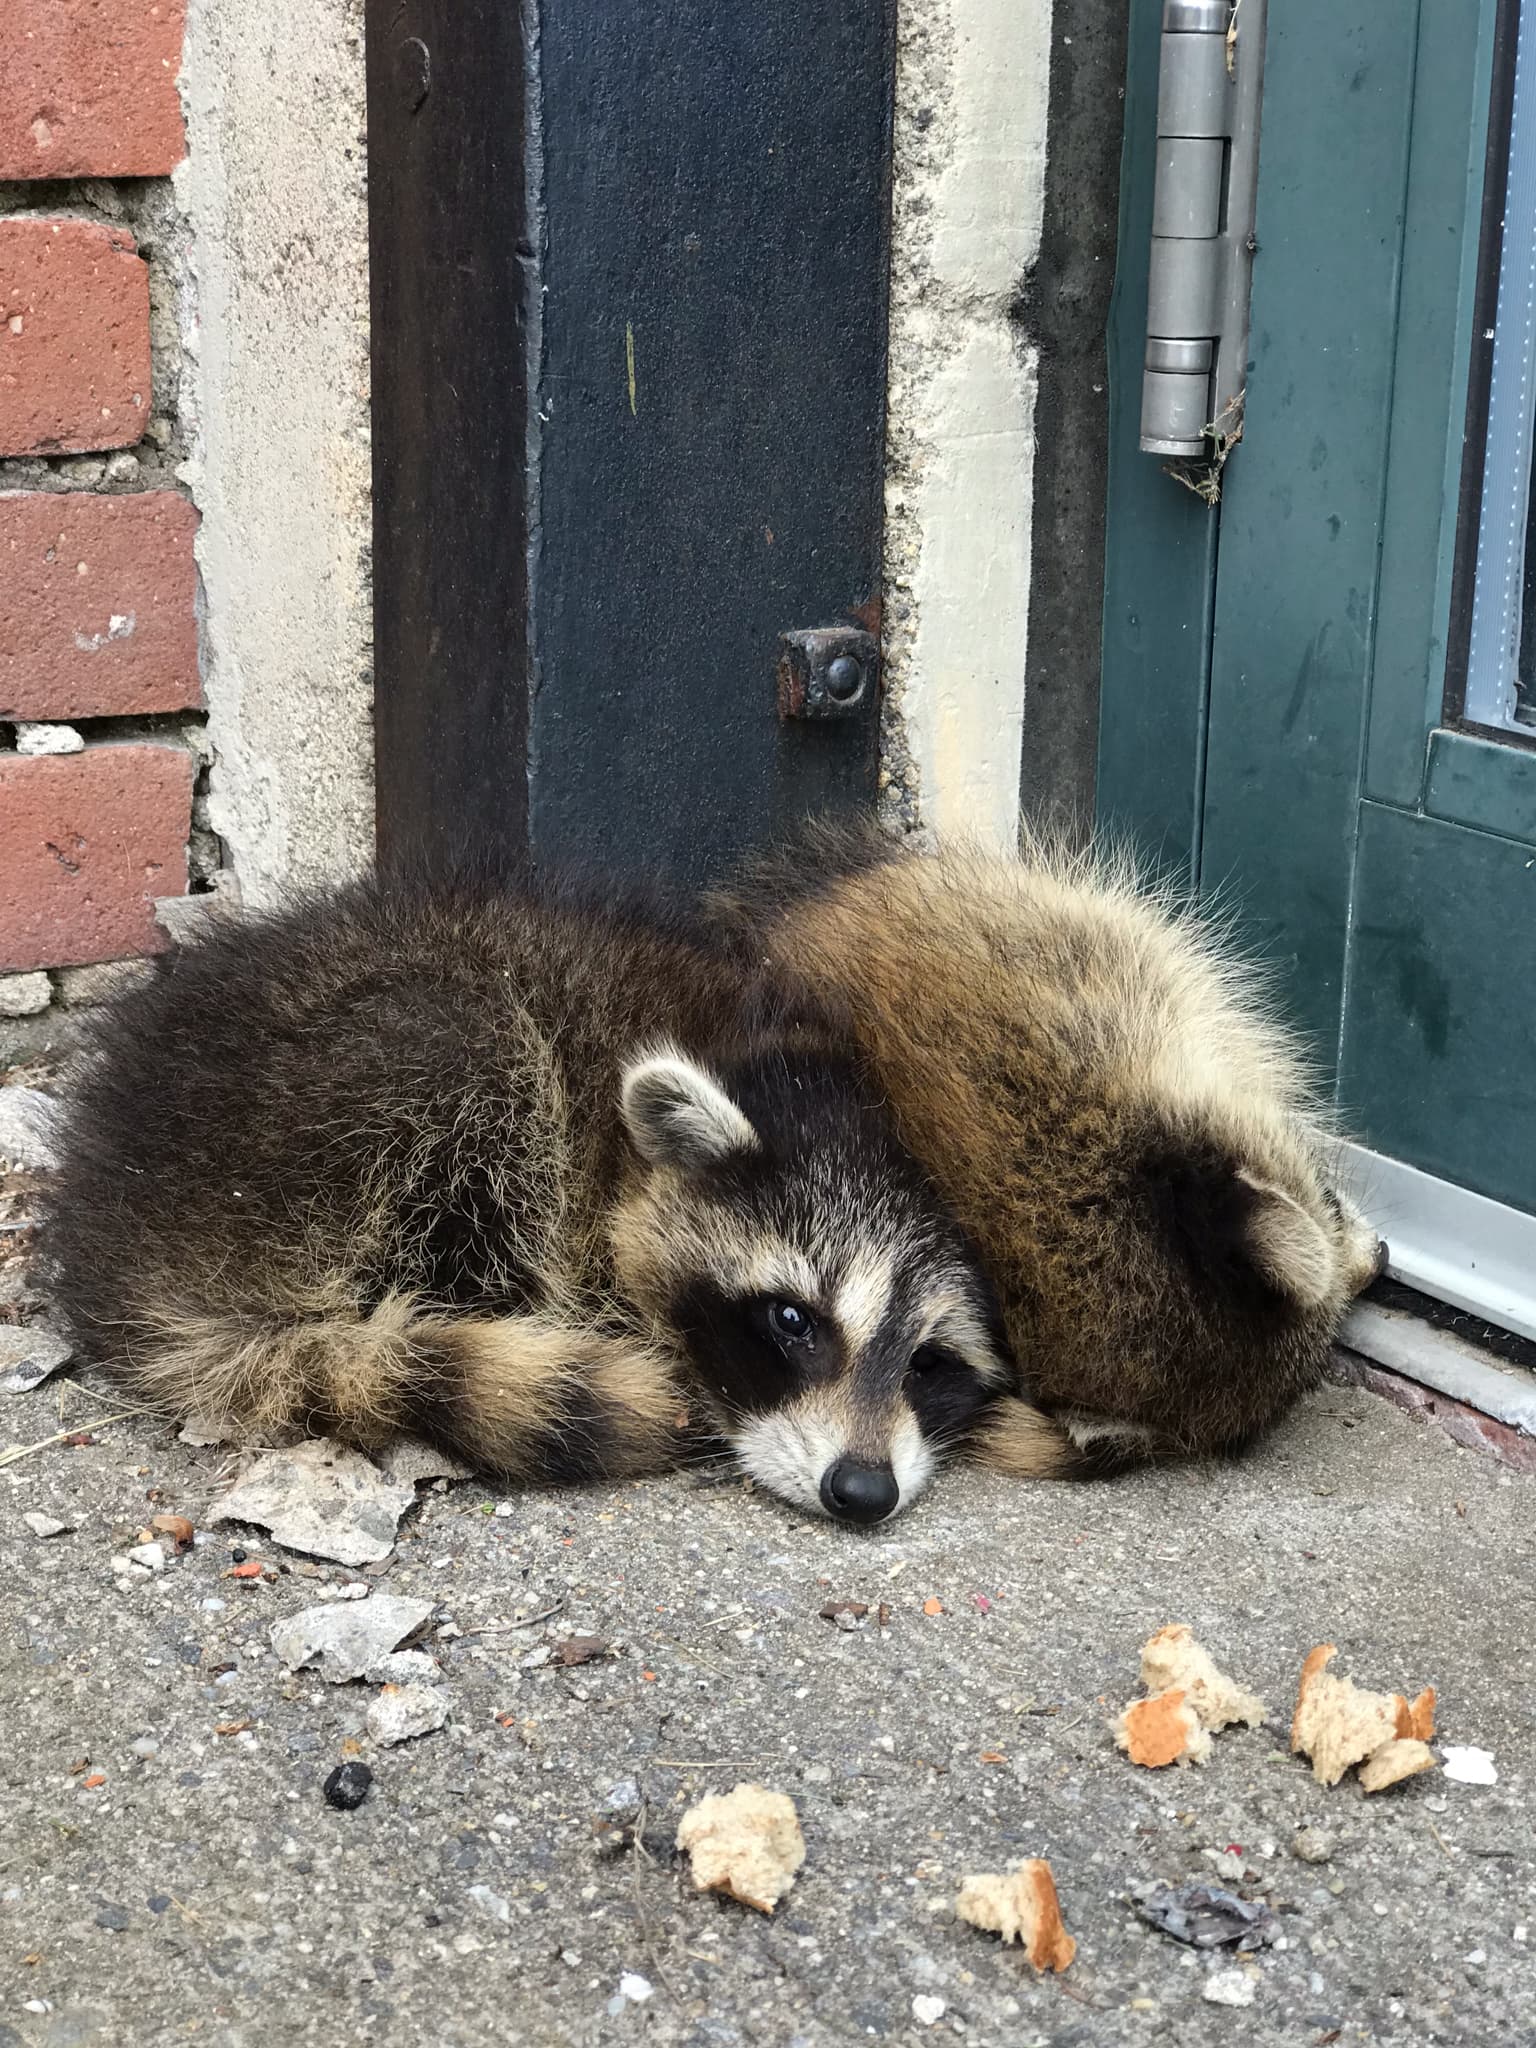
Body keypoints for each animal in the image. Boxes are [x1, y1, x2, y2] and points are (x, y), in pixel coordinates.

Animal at [43, 871, 1020, 1524]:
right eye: (791, 1321)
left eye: (932, 1362)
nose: (861, 1492)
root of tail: (122, 1241)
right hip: (338, 1110)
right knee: (457, 1048)